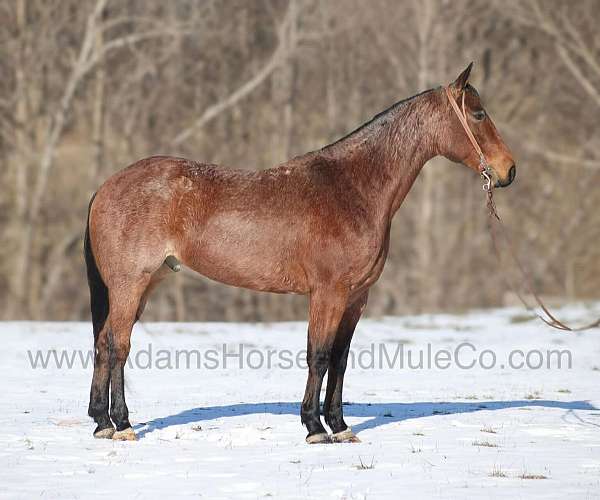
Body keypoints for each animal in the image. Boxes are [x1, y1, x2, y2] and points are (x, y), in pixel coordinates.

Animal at [84, 61, 516, 442]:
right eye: (478, 114)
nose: (508, 170)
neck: (352, 189)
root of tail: (107, 185)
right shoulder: (328, 293)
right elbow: (319, 355)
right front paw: (314, 427)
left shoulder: (356, 297)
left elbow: (340, 359)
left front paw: (339, 426)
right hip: (130, 284)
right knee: (117, 345)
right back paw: (121, 425)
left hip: (146, 284)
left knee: (106, 342)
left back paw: (102, 421)